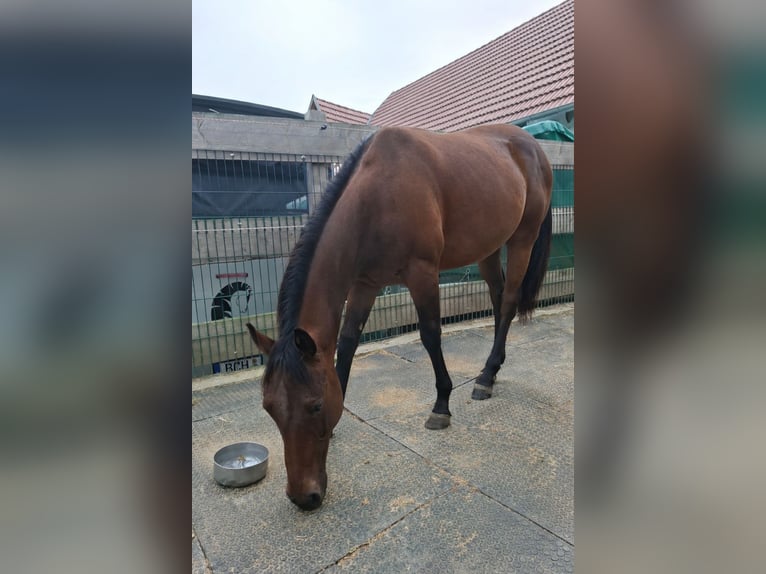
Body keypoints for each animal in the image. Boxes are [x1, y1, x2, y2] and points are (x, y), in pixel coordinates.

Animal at [247, 124, 553, 510]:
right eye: (269, 408)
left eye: (314, 406)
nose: (304, 497)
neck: (377, 197)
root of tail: (532, 146)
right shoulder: (364, 284)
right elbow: (348, 342)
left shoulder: (422, 273)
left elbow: (430, 335)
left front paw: (441, 407)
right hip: (489, 246)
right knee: (498, 301)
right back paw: (492, 372)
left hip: (522, 239)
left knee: (509, 302)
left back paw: (484, 377)